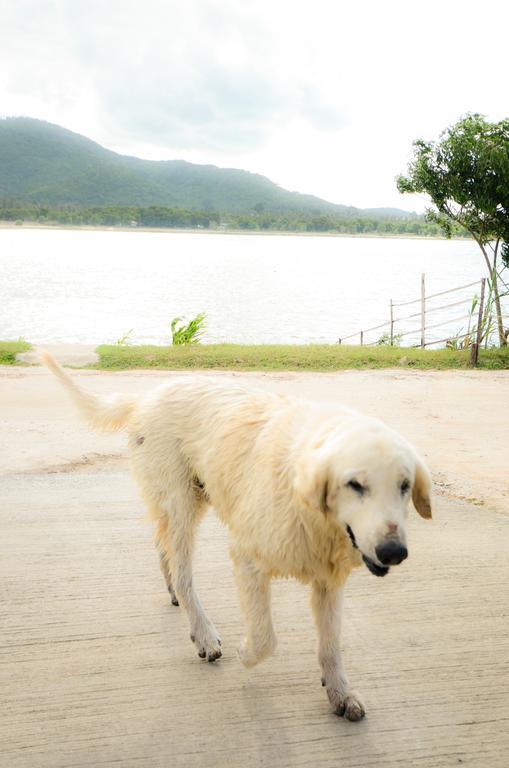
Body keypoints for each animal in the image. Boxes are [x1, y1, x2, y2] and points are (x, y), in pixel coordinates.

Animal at [43, 354, 430, 720]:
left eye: (404, 485)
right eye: (355, 484)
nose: (394, 551)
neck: (311, 510)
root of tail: (147, 397)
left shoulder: (328, 579)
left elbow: (331, 645)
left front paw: (340, 693)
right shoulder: (248, 558)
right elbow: (265, 638)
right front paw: (246, 653)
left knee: (162, 546)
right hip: (182, 505)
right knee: (183, 572)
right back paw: (202, 631)